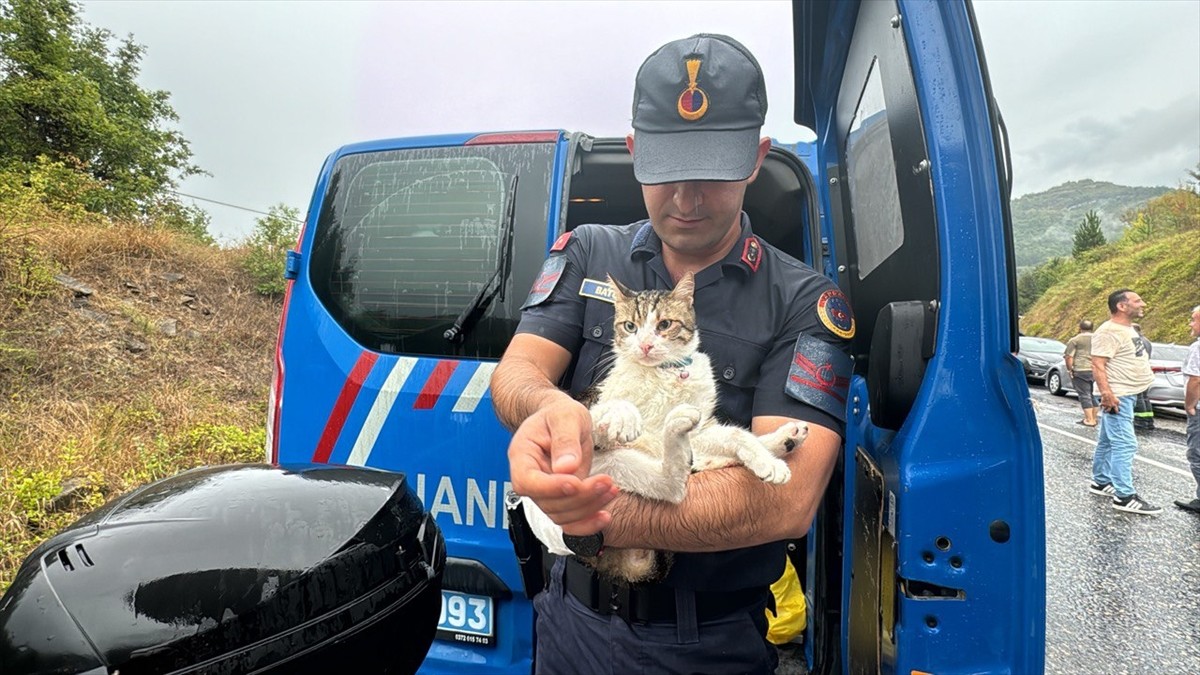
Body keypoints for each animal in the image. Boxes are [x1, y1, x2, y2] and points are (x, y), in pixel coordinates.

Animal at [523, 270, 811, 581]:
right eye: (630, 326)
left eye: (664, 325)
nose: (645, 345)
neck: (664, 374)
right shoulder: (592, 403)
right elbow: (599, 409)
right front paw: (623, 414)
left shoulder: (702, 429)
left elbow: (736, 435)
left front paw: (763, 459)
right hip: (606, 467)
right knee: (671, 485)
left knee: (680, 478)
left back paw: (782, 440)